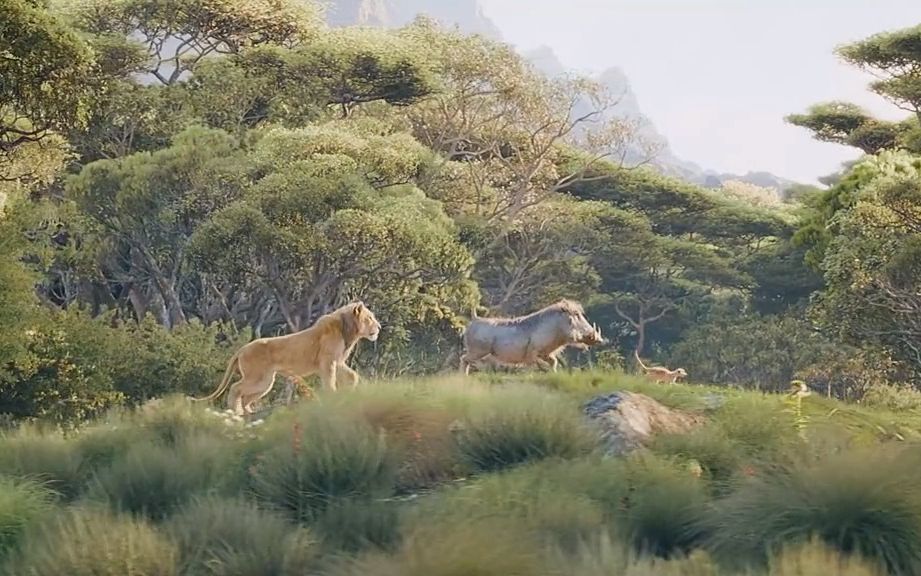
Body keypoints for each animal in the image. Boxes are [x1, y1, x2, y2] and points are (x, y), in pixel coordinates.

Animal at [194, 302, 380, 414]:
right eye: (370, 318)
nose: (379, 327)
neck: (348, 330)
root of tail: (242, 349)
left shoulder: (337, 361)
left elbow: (353, 375)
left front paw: (349, 392)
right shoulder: (327, 362)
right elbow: (330, 382)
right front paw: (333, 397)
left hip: (265, 382)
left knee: (245, 396)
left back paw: (249, 413)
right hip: (258, 378)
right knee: (235, 388)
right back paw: (237, 412)